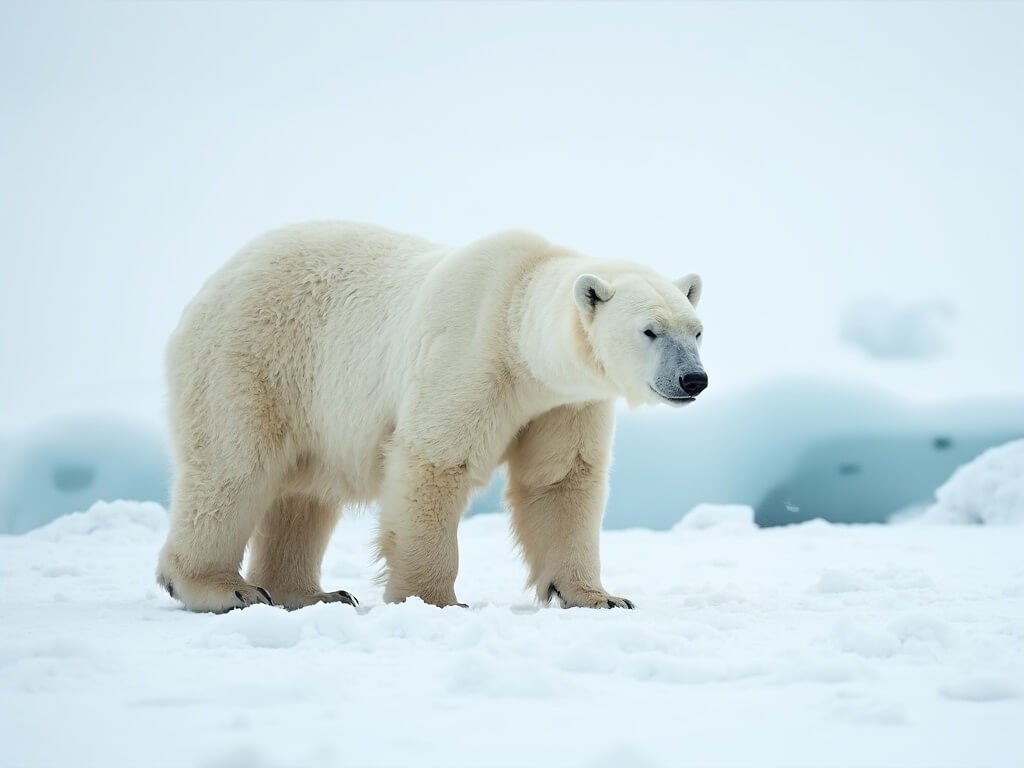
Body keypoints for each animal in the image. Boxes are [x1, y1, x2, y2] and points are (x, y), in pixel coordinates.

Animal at [156, 222, 707, 612]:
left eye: (696, 330)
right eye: (650, 331)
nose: (693, 379)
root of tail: (216, 280)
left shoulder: (563, 401)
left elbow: (561, 480)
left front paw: (601, 597)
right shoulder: (470, 355)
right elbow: (437, 461)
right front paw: (435, 599)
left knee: (304, 494)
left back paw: (314, 593)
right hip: (254, 357)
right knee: (234, 468)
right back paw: (226, 589)